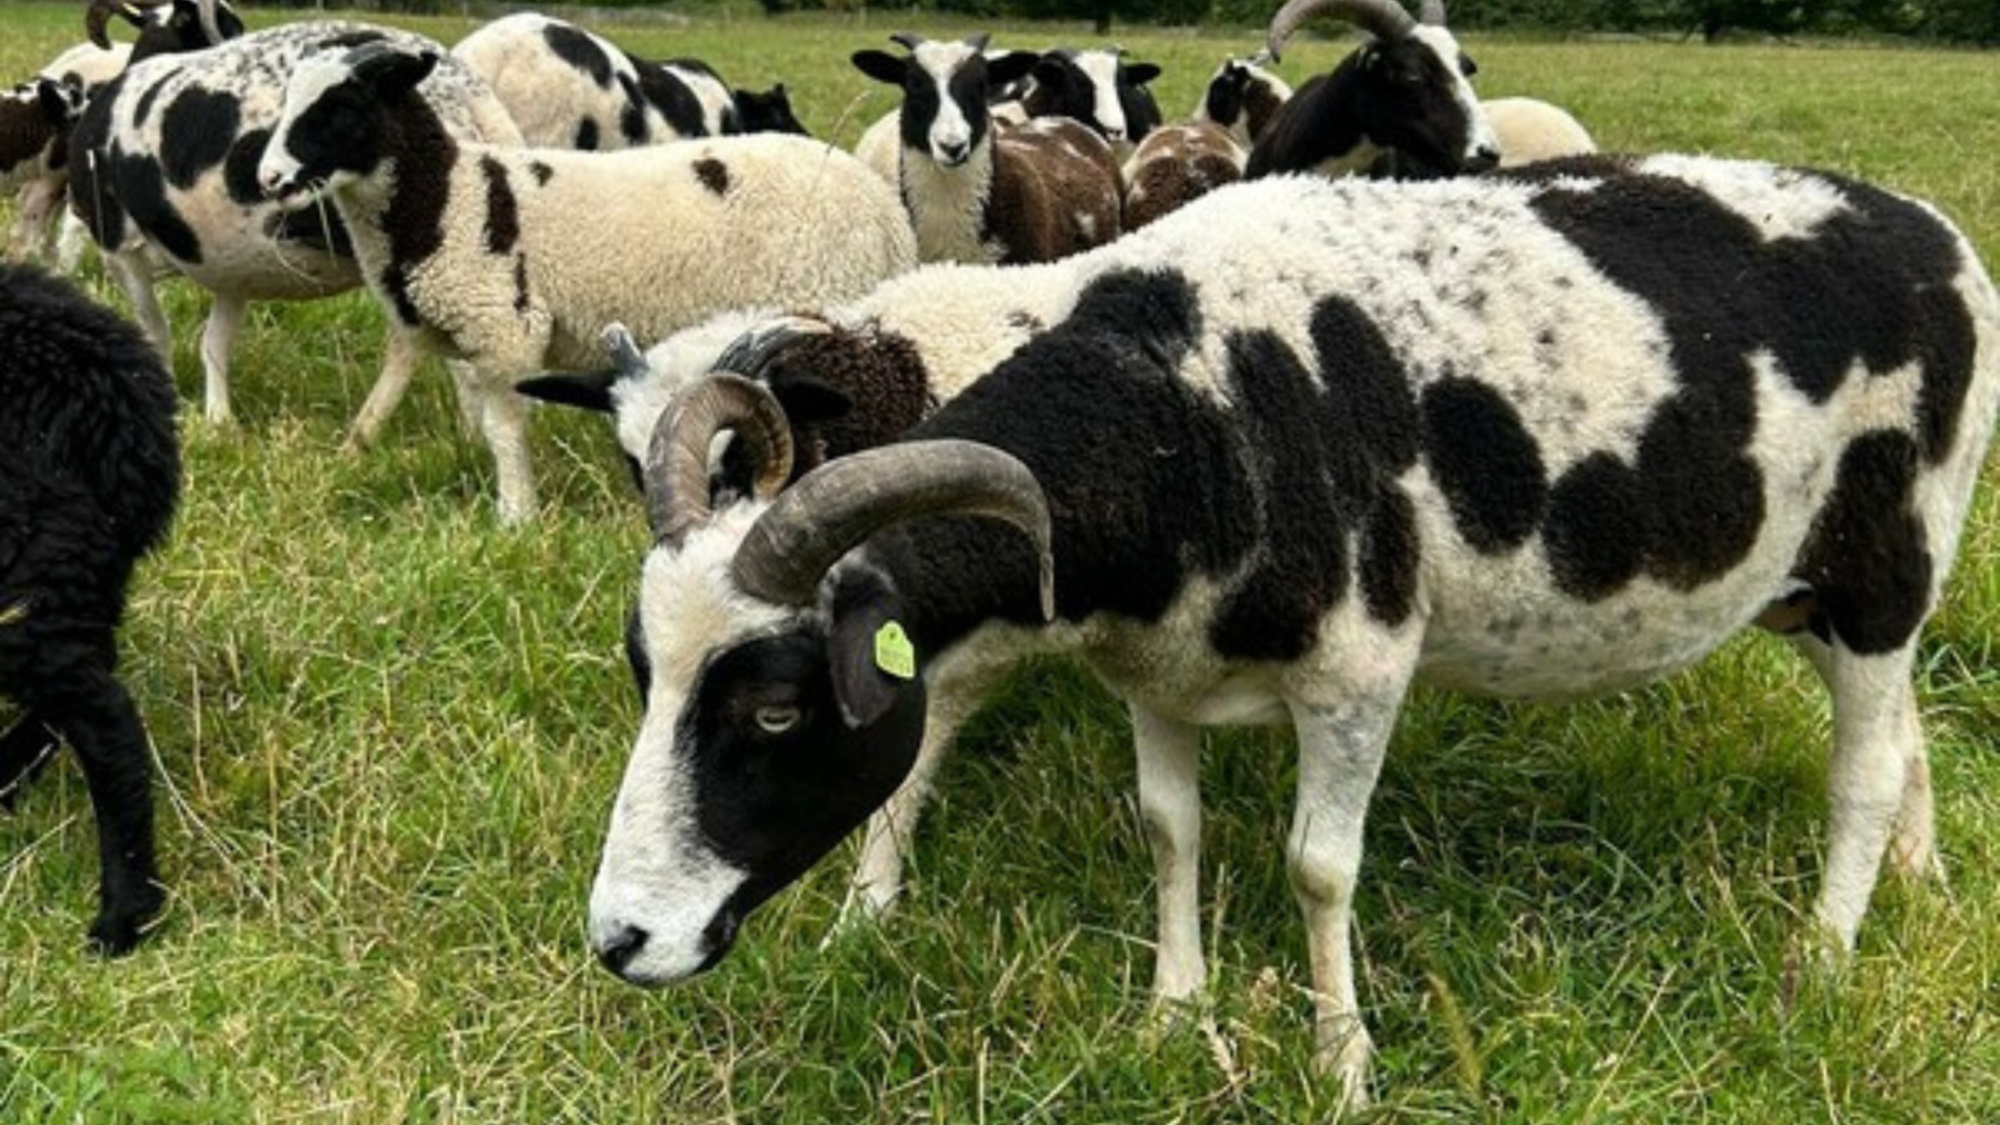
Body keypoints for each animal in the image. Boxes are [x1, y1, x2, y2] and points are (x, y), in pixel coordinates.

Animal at [68, 20, 524, 442]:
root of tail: (468, 91)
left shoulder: (118, 248)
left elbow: (156, 334)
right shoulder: (231, 270)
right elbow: (211, 344)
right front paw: (218, 421)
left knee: (424, 348)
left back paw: (385, 435)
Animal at [258, 39, 920, 520]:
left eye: (343, 106)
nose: (269, 178)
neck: (449, 197)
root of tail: (885, 210)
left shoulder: (505, 329)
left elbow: (504, 428)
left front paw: (515, 516)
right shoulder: (454, 329)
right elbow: (445, 408)